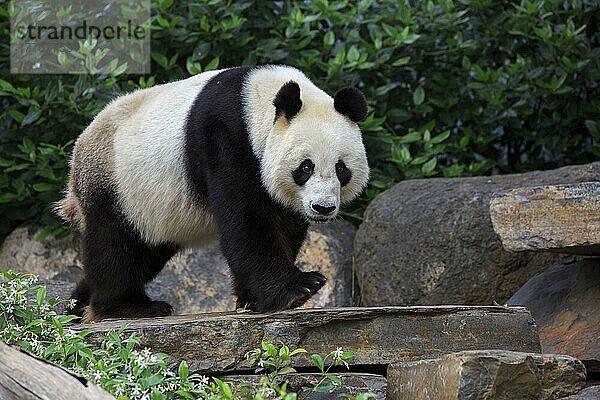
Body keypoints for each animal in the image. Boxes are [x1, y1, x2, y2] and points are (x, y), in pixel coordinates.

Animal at [59, 65, 370, 322]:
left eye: (341, 169)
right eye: (306, 167)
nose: (322, 207)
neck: (255, 102)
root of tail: (77, 157)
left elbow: (284, 224)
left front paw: (252, 299)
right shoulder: (225, 140)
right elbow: (246, 220)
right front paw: (300, 288)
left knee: (144, 252)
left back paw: (75, 306)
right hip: (118, 185)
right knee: (115, 246)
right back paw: (125, 307)